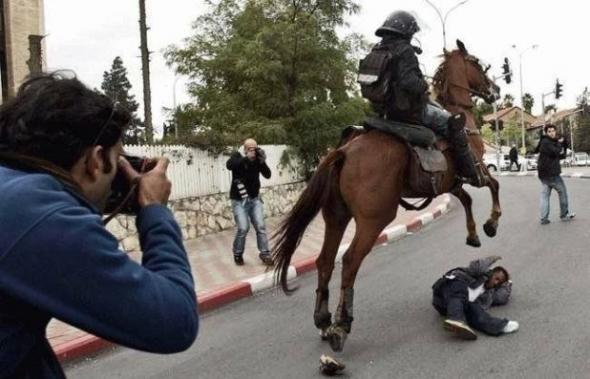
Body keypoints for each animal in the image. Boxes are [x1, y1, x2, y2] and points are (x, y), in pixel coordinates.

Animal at [274, 40, 504, 352]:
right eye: (477, 64)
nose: (495, 90)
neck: (457, 112)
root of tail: (344, 152)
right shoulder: (476, 171)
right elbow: (494, 185)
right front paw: (491, 223)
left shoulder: (450, 183)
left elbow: (467, 200)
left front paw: (473, 235)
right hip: (374, 219)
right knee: (349, 261)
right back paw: (341, 325)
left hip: (336, 216)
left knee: (325, 260)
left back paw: (323, 320)